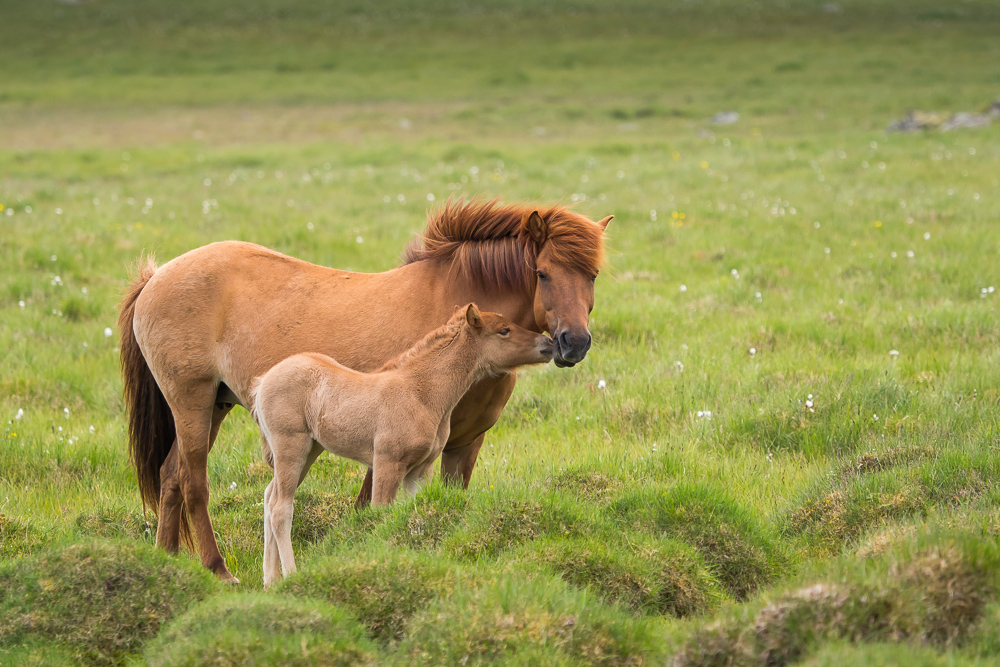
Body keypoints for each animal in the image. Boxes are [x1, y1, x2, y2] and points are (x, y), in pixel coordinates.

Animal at [248, 304, 548, 588]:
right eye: (504, 331)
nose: (548, 344)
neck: (420, 393)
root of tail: (263, 382)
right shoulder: (388, 462)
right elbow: (380, 511)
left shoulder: (420, 469)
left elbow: (414, 511)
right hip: (291, 446)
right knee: (281, 507)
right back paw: (290, 575)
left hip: (310, 450)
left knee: (269, 496)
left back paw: (270, 580)